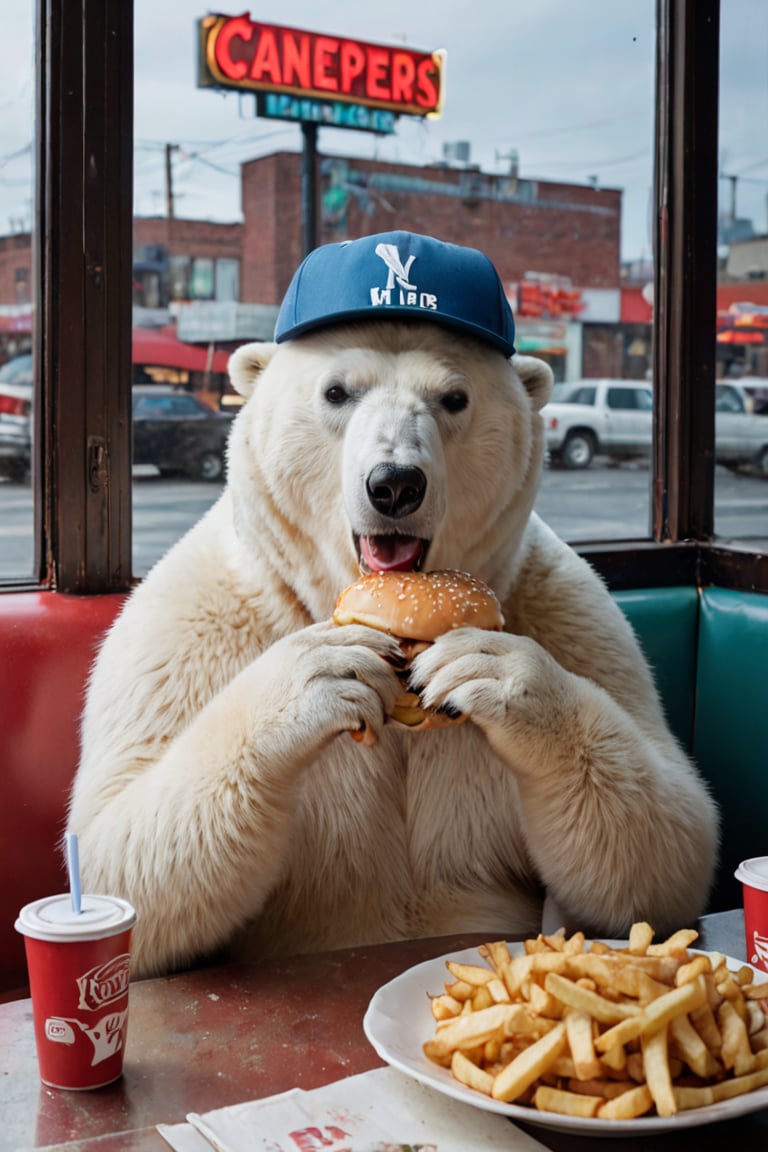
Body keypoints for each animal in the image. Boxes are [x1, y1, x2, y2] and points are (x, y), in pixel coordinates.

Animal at [67, 229, 723, 976]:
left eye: (455, 398)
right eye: (335, 391)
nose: (395, 484)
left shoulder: (574, 613)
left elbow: (666, 839)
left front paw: (501, 678)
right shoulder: (189, 626)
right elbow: (118, 844)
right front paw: (312, 682)